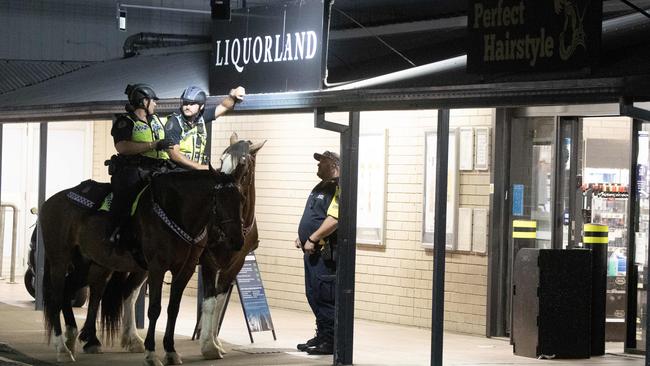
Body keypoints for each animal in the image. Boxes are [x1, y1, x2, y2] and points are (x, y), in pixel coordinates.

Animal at [40, 167, 243, 364]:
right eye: (220, 200)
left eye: (241, 199)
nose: (237, 240)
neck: (176, 211)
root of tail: (50, 202)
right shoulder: (157, 268)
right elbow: (154, 309)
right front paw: (151, 353)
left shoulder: (185, 269)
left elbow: (173, 309)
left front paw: (171, 351)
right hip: (60, 261)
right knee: (56, 298)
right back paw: (62, 349)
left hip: (88, 265)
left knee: (68, 292)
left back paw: (74, 338)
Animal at [197, 133, 264, 358]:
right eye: (221, 160)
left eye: (242, 163)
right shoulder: (209, 262)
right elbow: (209, 302)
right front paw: (208, 346)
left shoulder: (235, 264)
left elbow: (219, 302)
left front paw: (215, 342)